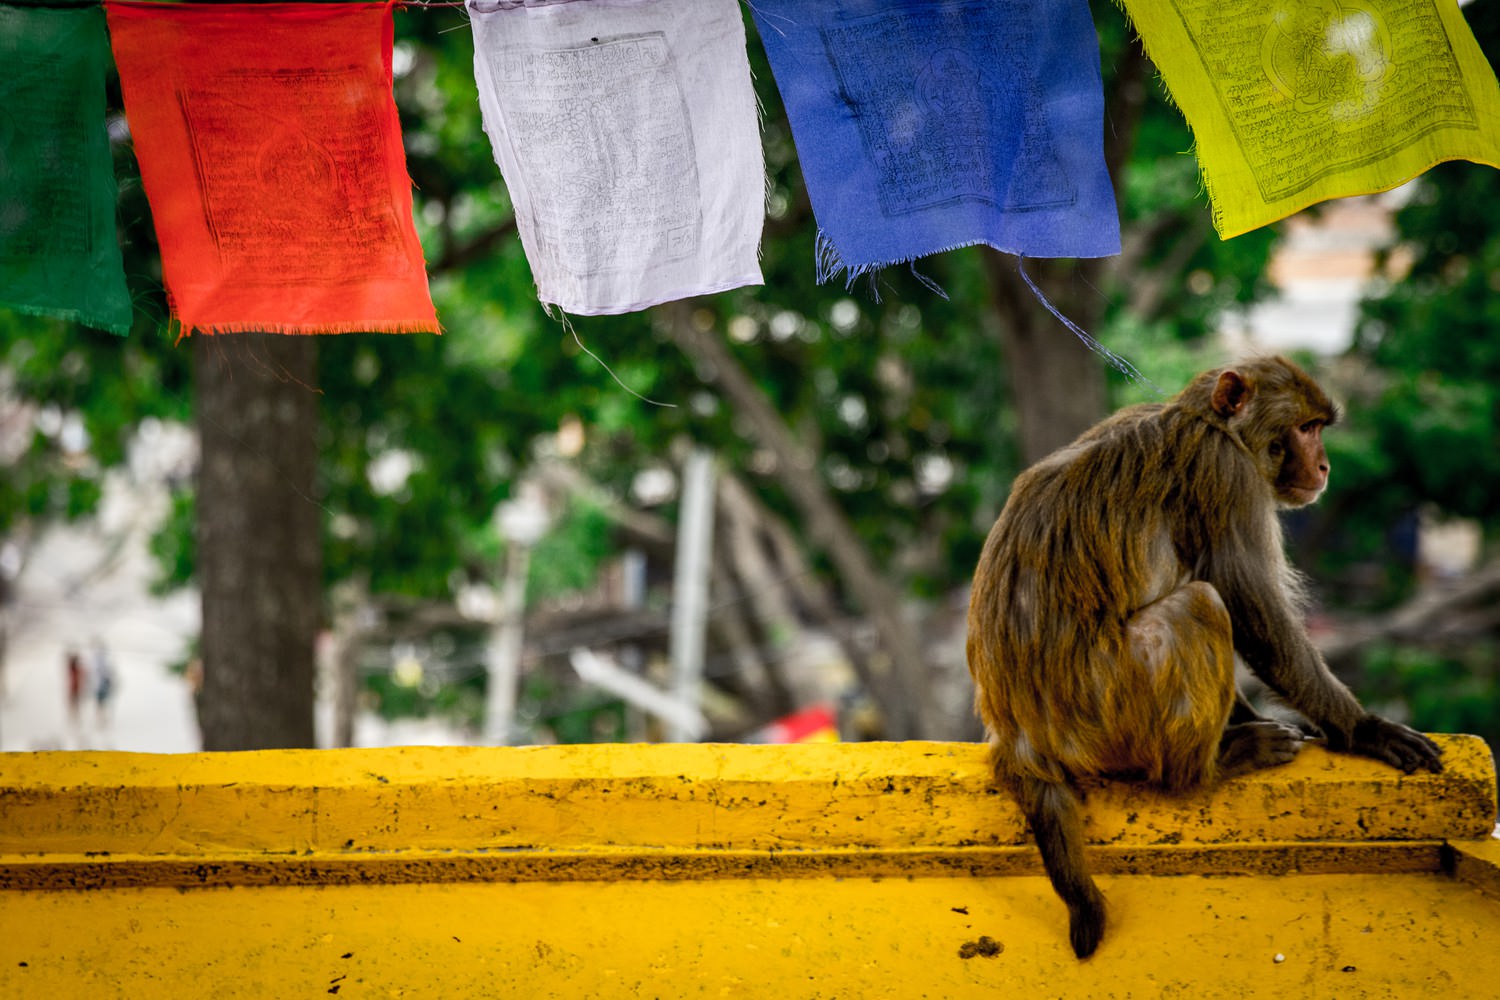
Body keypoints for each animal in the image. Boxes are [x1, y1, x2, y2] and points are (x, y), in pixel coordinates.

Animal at [965, 355, 1443, 959]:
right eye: (1306, 428)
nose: (1325, 465)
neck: (1210, 424)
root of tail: (1018, 738)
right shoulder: (1224, 474)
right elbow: (1248, 600)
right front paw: (1362, 728)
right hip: (1102, 710)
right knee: (1199, 605)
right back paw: (1207, 768)